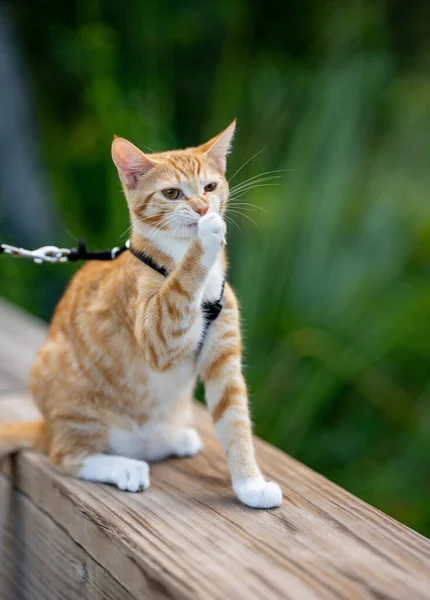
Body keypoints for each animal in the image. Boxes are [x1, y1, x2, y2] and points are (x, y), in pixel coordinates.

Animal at [0, 123, 282, 510]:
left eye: (210, 187)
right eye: (172, 193)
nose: (202, 208)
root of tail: (48, 427)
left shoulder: (223, 359)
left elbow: (235, 422)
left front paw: (250, 484)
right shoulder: (159, 335)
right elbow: (178, 296)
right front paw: (207, 236)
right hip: (76, 407)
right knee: (66, 456)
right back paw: (123, 467)